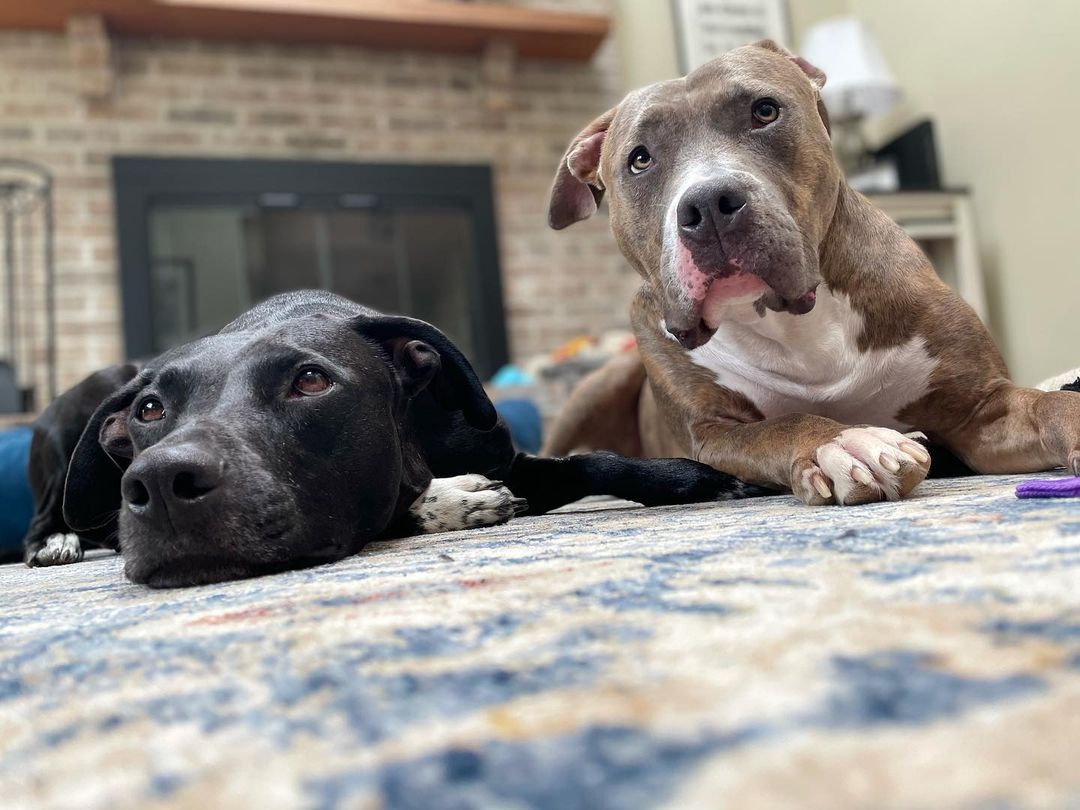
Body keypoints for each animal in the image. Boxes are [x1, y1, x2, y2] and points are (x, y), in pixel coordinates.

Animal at [42, 291, 764, 591]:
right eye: (150, 408)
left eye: (310, 380)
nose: (160, 482)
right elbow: (403, 504)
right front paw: (459, 501)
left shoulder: (506, 452)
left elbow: (595, 461)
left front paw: (694, 476)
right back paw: (58, 544)